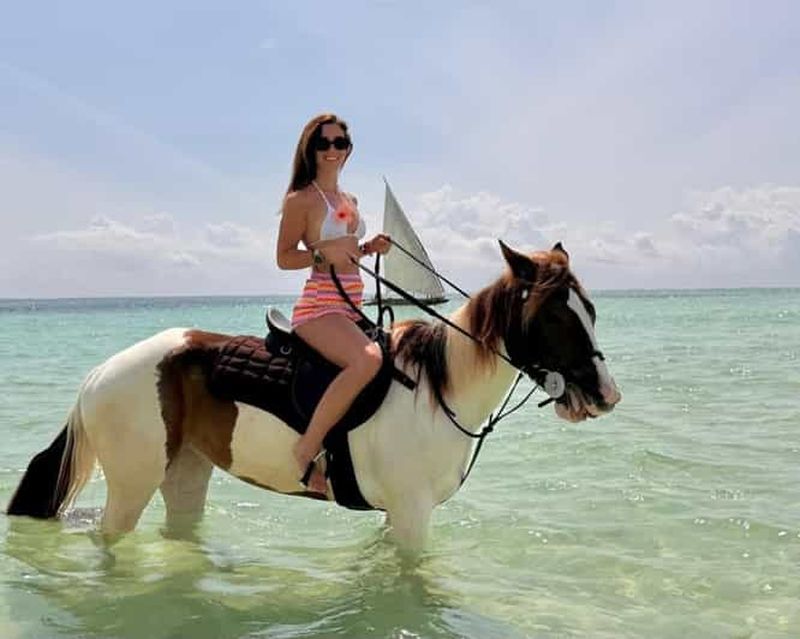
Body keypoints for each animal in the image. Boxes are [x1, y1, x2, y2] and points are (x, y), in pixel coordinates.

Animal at [6, 241, 620, 553]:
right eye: (555, 316)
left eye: (590, 309)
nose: (605, 395)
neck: (435, 391)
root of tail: (98, 374)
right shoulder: (412, 514)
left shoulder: (396, 515)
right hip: (131, 486)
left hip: (184, 471)